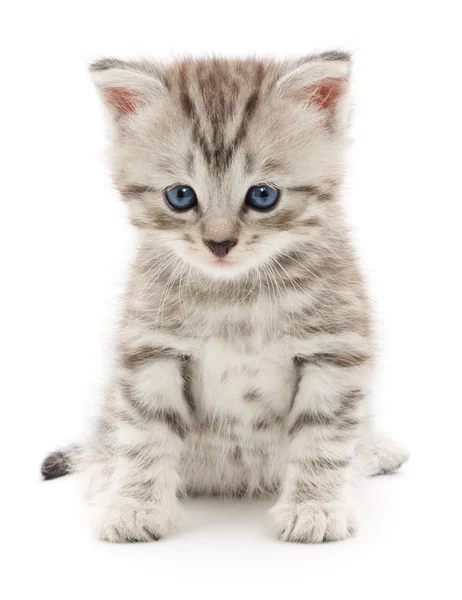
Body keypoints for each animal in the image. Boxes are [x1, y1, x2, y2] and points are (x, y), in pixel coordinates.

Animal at [40, 52, 408, 544]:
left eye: (263, 195)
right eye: (180, 196)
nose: (219, 244)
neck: (236, 295)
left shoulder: (334, 351)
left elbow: (323, 438)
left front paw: (314, 507)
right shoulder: (150, 348)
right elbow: (144, 433)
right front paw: (135, 504)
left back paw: (376, 449)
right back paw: (104, 471)